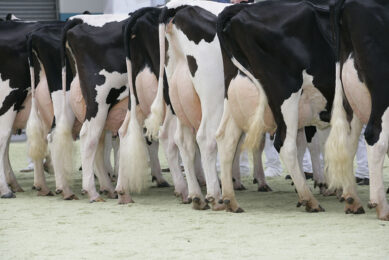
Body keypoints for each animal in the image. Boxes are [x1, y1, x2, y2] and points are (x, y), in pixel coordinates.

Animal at [215, 0, 336, 212]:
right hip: (286, 96)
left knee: (226, 141)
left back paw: (231, 200)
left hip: (235, 96)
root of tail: (241, 8)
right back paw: (309, 200)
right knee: (285, 145)